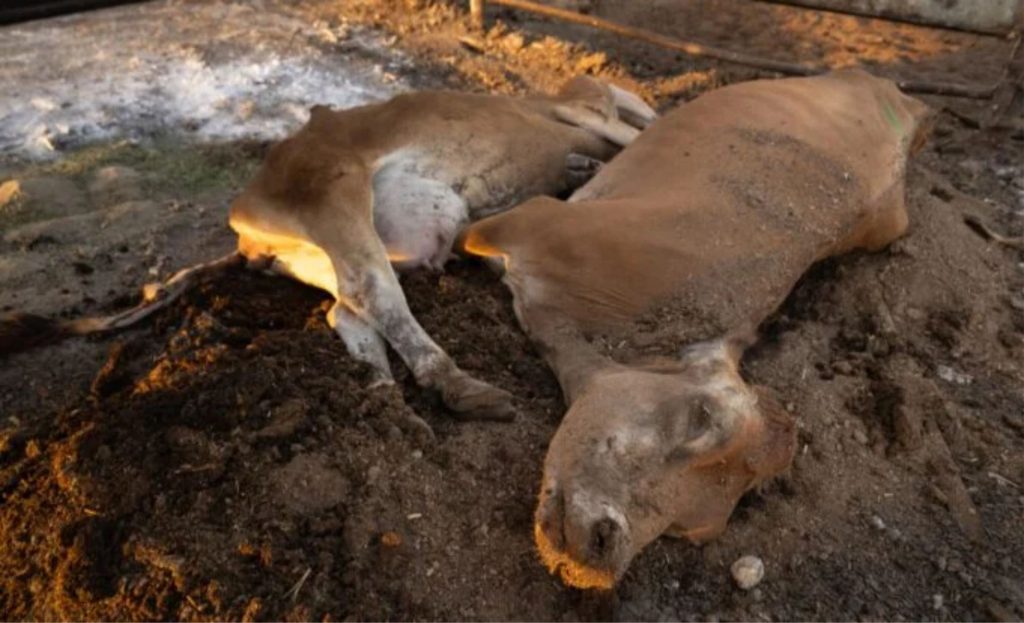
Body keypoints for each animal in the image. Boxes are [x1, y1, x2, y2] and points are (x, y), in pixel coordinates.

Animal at [0, 75, 655, 420]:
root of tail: (246, 225)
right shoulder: (586, 110)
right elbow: (630, 132)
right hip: (335, 196)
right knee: (374, 292)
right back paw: (459, 387)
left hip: (347, 248)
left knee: (349, 307)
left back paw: (385, 399)